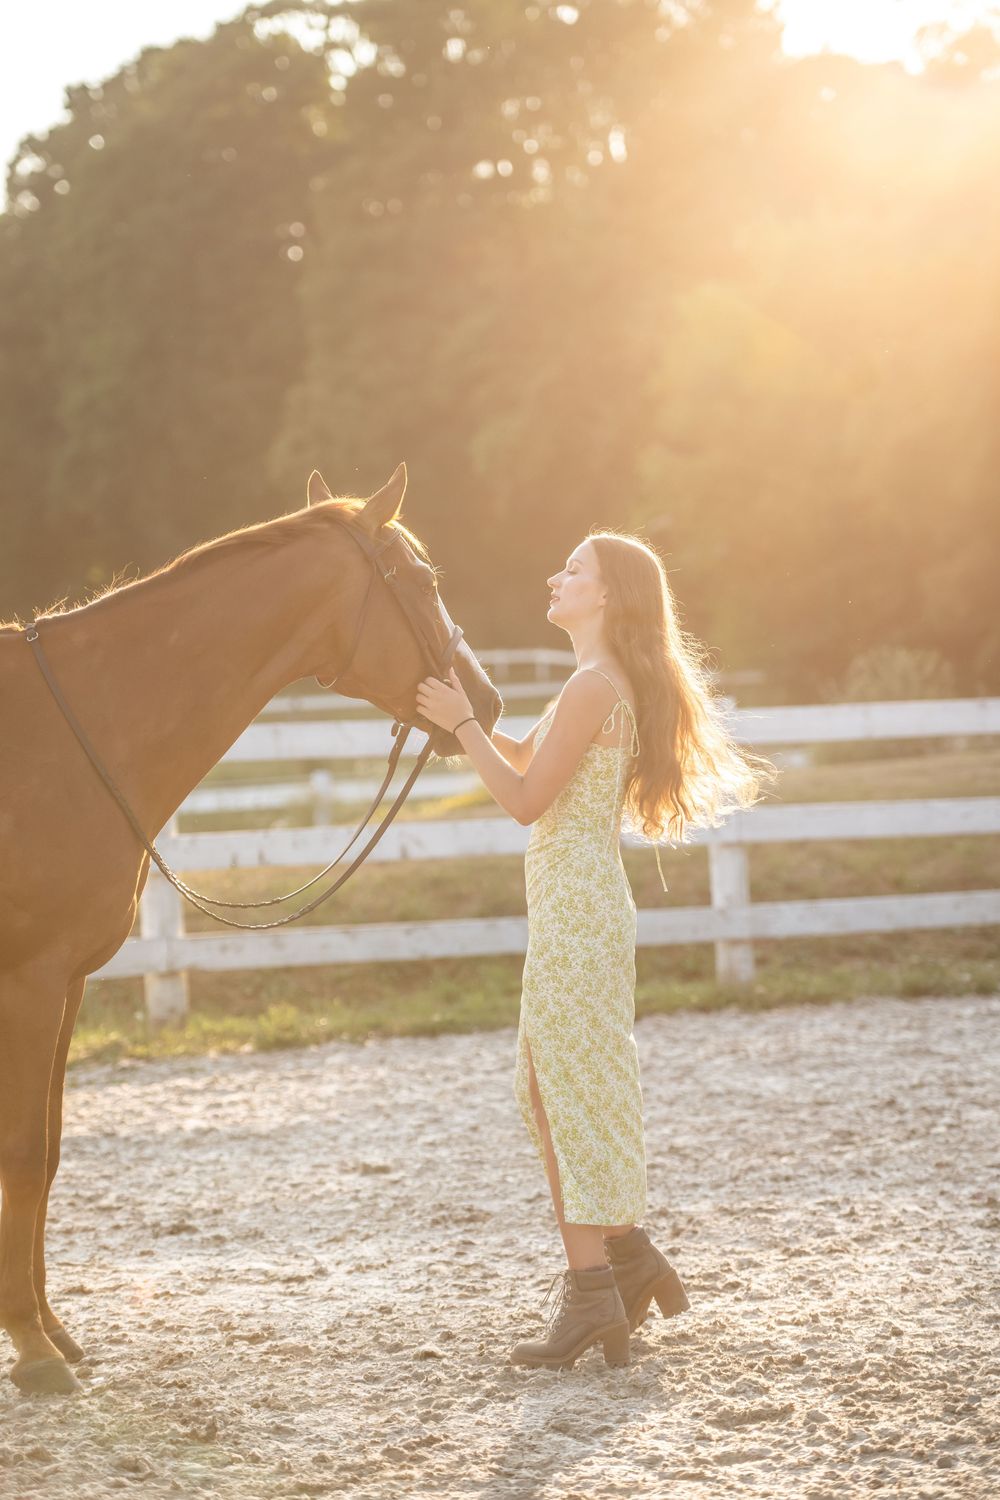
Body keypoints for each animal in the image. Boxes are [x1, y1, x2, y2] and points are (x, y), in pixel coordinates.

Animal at [0, 463, 502, 1394]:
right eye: (422, 582)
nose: (483, 701)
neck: (67, 736)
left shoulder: (68, 984)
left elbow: (45, 1155)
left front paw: (52, 1331)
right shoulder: (31, 982)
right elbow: (20, 1152)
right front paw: (34, 1350)